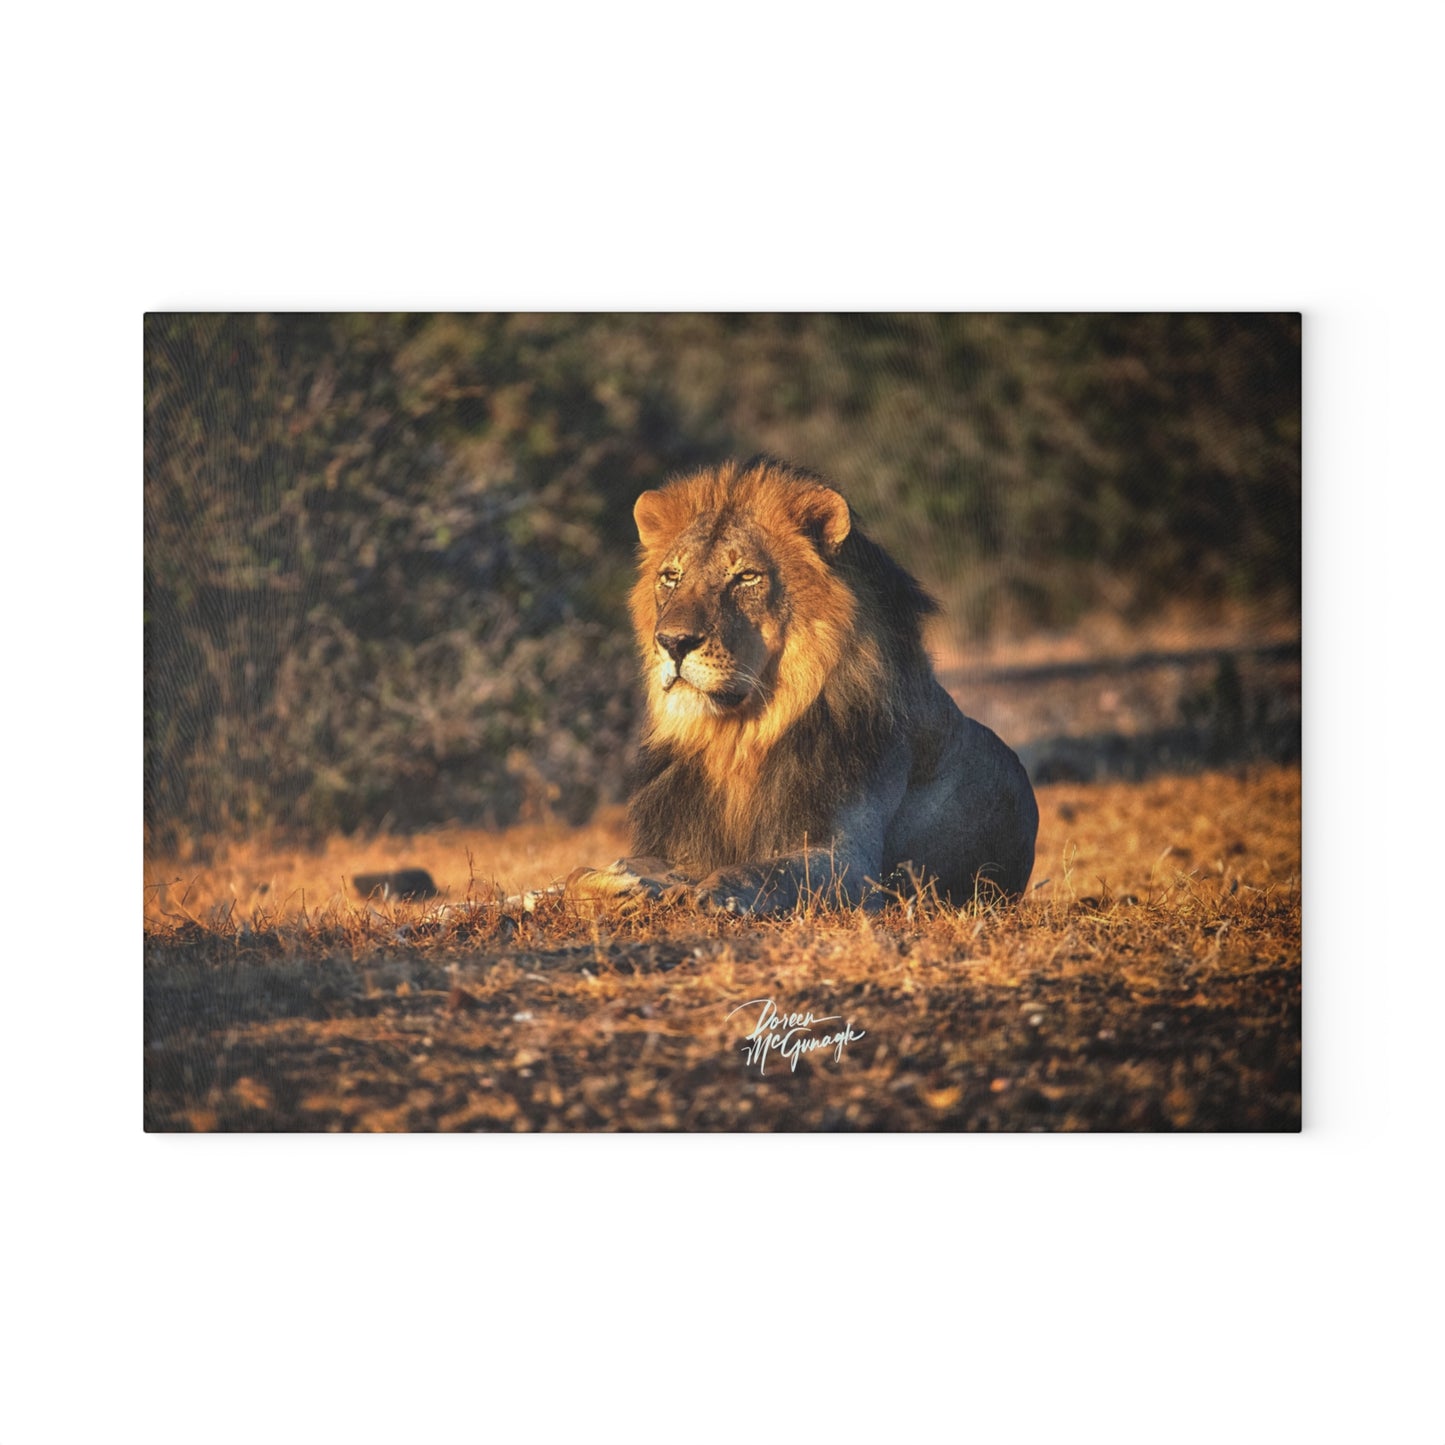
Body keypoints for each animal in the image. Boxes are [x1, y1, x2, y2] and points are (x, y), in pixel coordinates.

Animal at [573, 457, 1038, 914]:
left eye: (746, 577)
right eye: (671, 576)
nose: (672, 642)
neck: (737, 738)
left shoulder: (851, 862)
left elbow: (763, 871)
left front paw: (710, 894)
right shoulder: (679, 846)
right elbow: (584, 871)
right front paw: (613, 882)